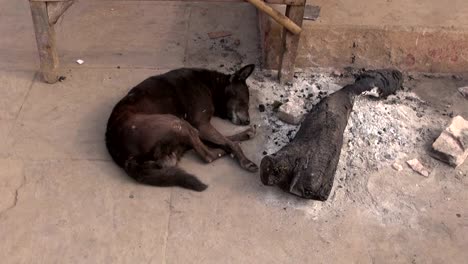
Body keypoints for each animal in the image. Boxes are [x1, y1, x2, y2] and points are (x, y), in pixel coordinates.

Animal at [105, 64, 256, 192]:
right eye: (244, 102)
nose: (248, 121)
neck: (211, 85)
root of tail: (123, 156)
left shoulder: (201, 128)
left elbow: (225, 140)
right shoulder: (201, 124)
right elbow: (230, 144)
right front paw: (246, 161)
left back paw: (244, 135)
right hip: (177, 123)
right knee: (208, 155)